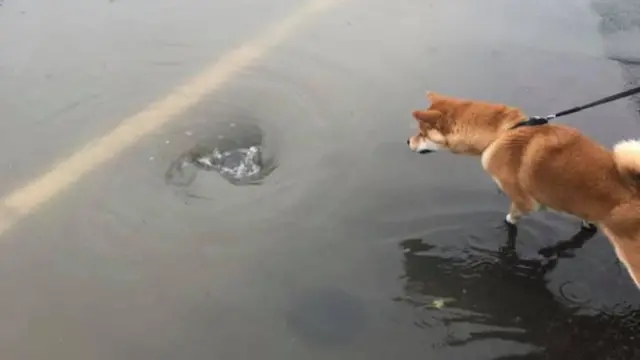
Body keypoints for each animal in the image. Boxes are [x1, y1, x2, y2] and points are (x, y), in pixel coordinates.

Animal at [408, 91, 640, 288]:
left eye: (421, 133)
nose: (407, 140)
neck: (501, 133)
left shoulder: (523, 202)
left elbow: (510, 222)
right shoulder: (582, 209)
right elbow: (585, 227)